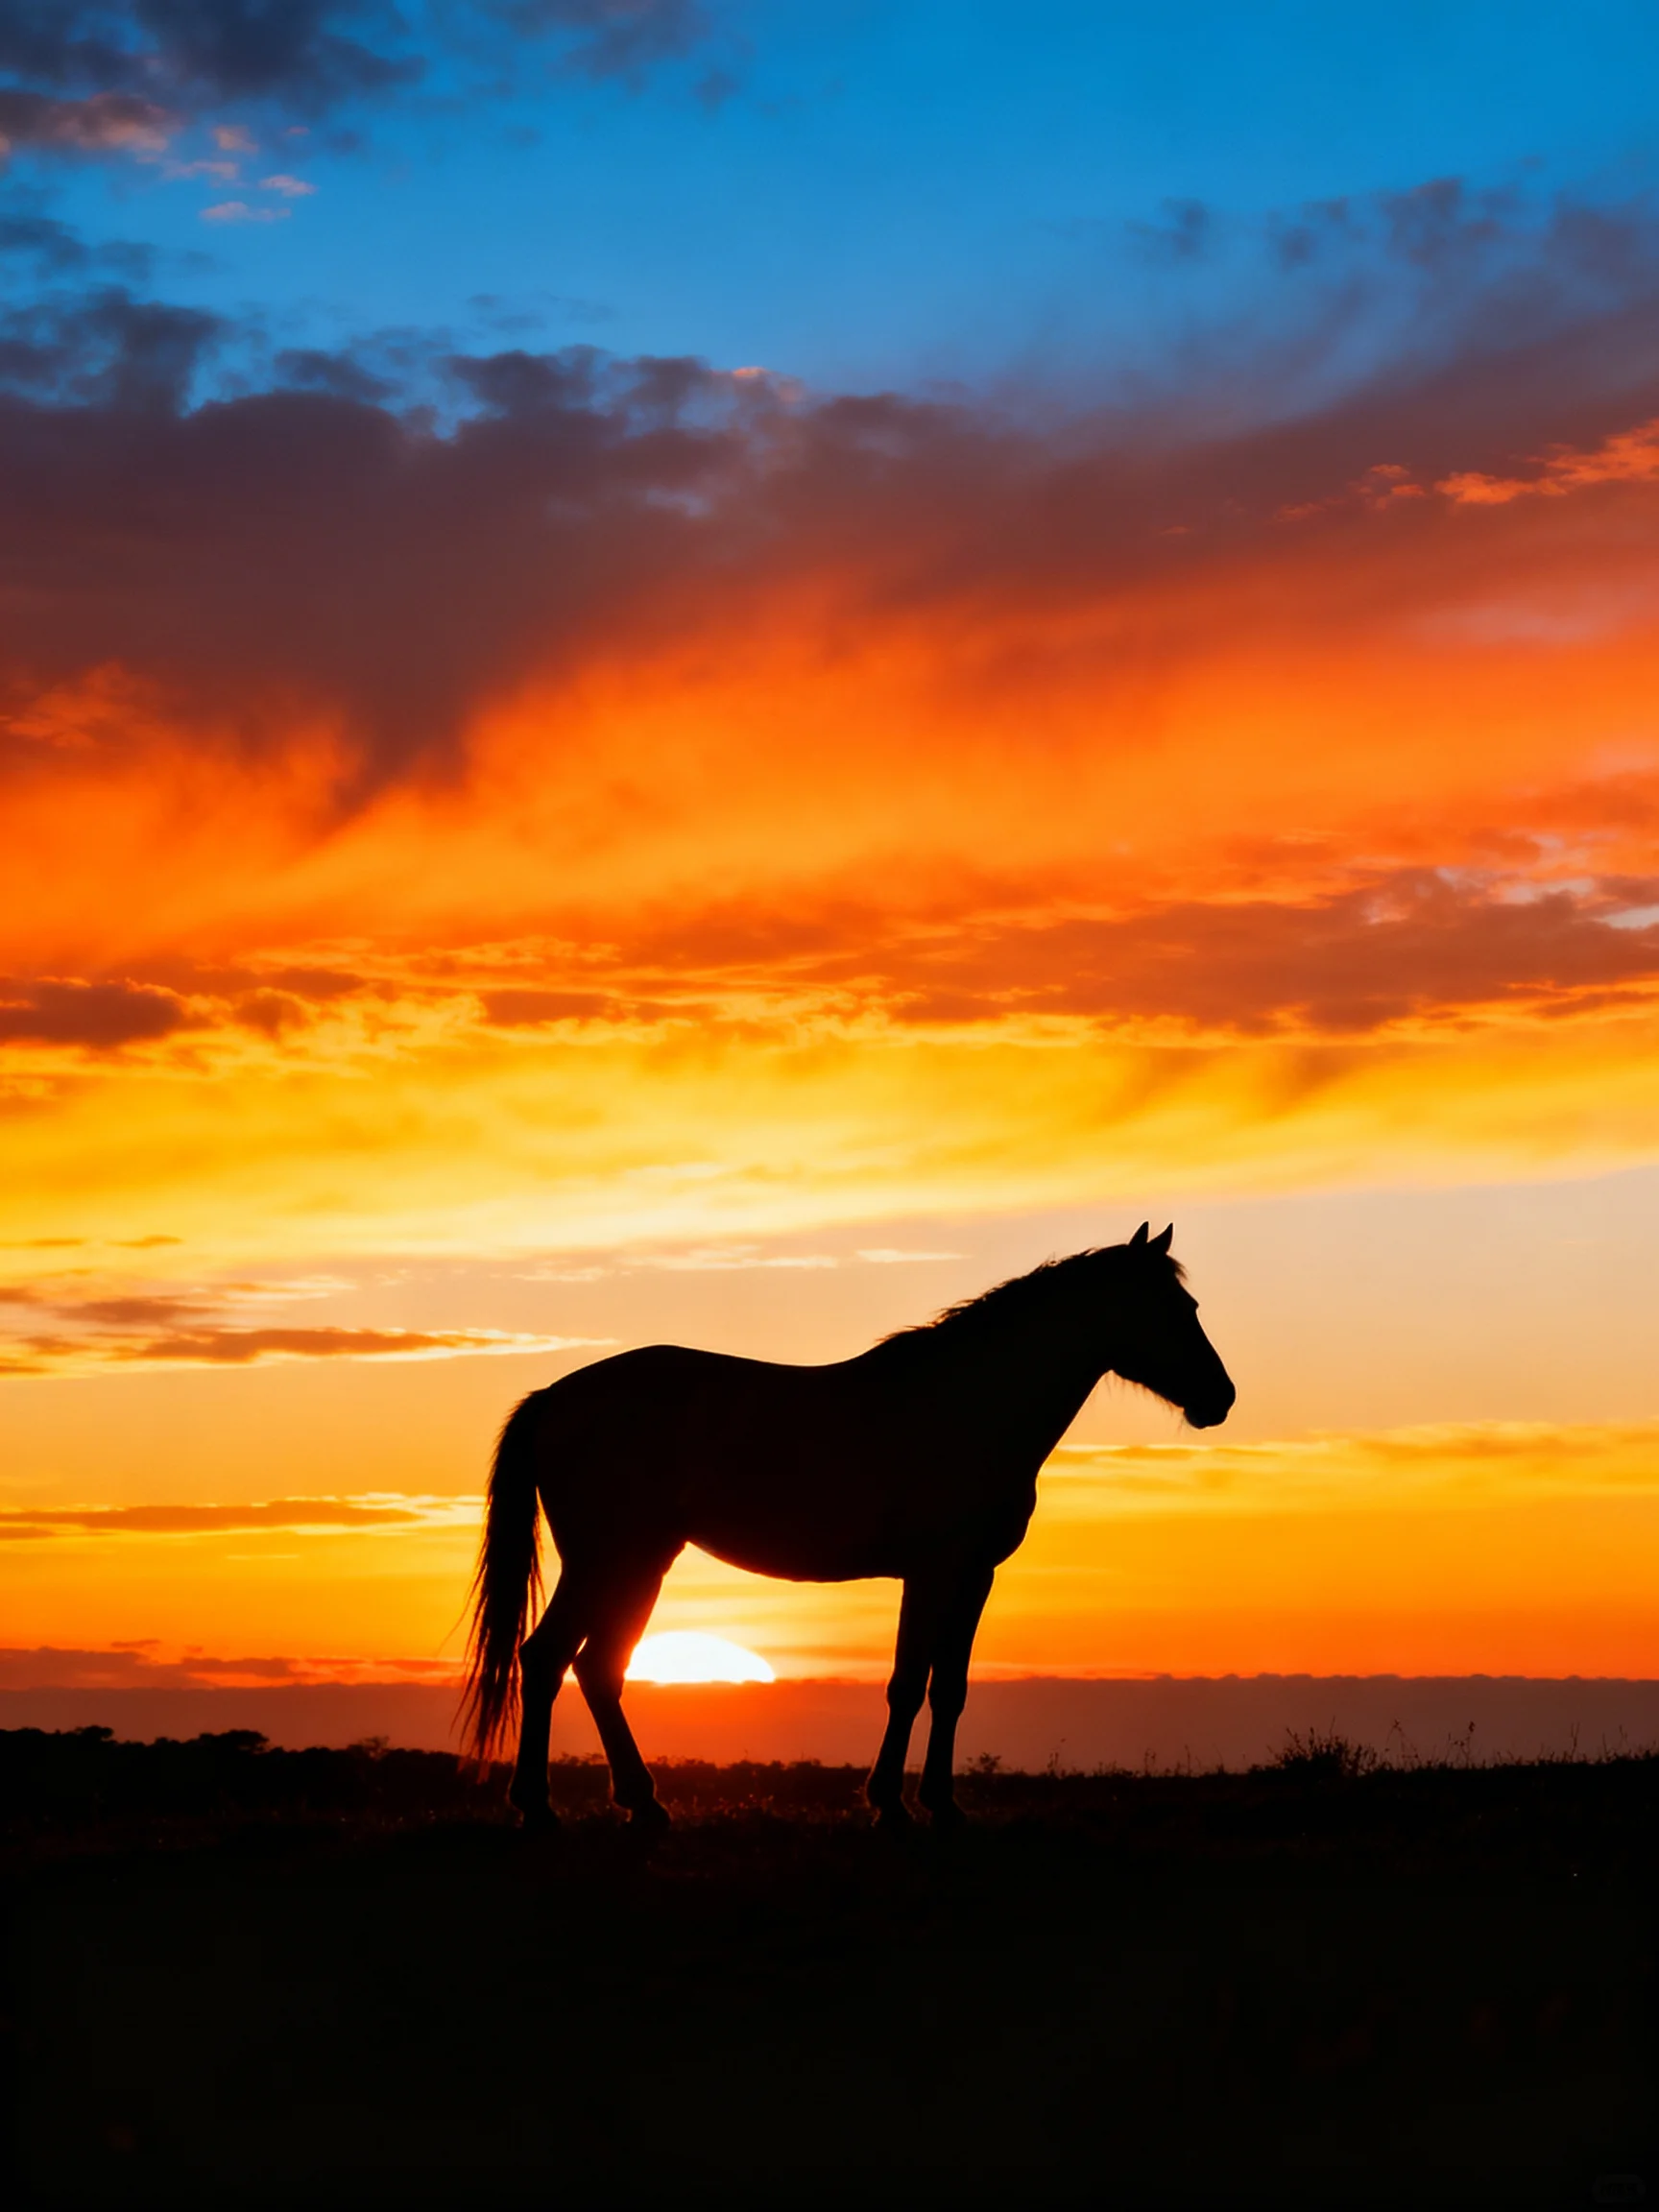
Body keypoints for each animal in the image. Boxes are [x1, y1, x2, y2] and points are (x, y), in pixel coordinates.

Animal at [462, 1222, 1234, 1829]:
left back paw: (633, 1804)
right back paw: (545, 1806)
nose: (1220, 1398)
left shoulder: (973, 1575)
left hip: (638, 1561)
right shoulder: (932, 1571)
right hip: (609, 1559)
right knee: (552, 1659)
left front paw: (943, 1805)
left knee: (588, 1667)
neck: (971, 1403)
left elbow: (948, 1689)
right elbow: (909, 1684)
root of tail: (555, 1397)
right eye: (1173, 1308)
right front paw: (890, 1804)